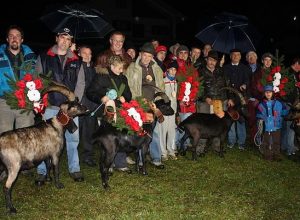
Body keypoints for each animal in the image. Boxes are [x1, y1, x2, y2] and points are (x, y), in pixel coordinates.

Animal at [0, 84, 88, 213]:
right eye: (76, 105)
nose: (86, 108)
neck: (56, 126)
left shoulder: (46, 155)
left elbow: (48, 166)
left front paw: (48, 179)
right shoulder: (55, 154)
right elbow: (55, 169)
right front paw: (58, 185)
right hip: (14, 166)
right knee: (7, 187)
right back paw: (11, 209)